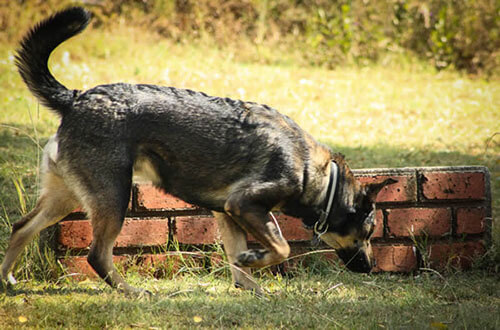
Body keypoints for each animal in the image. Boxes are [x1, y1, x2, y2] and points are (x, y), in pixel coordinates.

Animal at [1, 6, 396, 296]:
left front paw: (253, 286)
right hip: (113, 196)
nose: (370, 268)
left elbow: (238, 263)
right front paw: (255, 259)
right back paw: (130, 291)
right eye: (368, 233)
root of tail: (76, 97)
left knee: (21, 228)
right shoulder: (244, 204)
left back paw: (6, 282)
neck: (320, 177)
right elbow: (279, 248)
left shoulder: (228, 213)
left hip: (66, 197)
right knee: (97, 255)